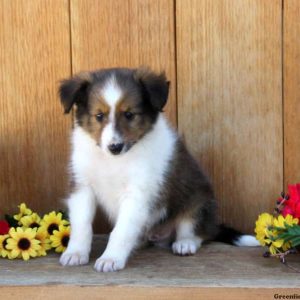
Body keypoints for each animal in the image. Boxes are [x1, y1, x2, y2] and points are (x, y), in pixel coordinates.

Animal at [58, 67, 258, 274]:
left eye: (129, 114)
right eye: (99, 116)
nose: (115, 147)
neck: (114, 160)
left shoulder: (137, 193)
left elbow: (121, 231)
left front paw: (111, 258)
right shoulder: (82, 186)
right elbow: (82, 225)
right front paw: (75, 253)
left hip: (198, 201)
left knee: (195, 230)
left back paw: (185, 243)